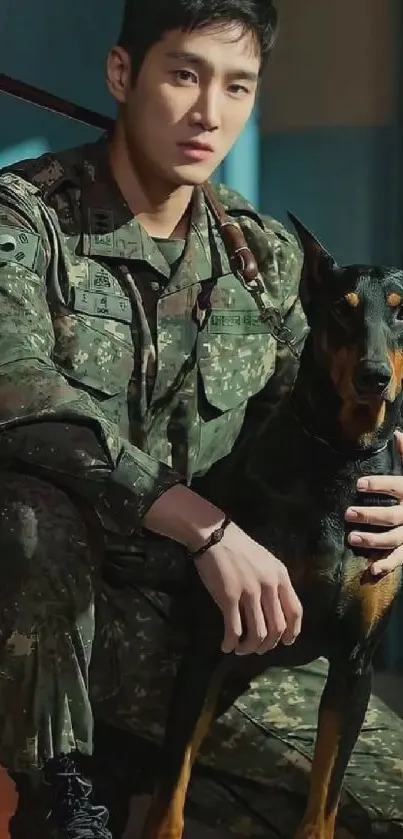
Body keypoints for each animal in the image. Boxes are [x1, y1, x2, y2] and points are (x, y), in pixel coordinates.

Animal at [140, 218, 403, 839]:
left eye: (401, 311)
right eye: (342, 311)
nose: (374, 377)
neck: (340, 456)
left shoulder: (355, 666)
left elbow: (325, 799)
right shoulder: (210, 644)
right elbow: (171, 793)